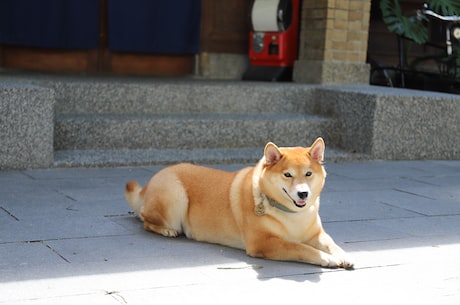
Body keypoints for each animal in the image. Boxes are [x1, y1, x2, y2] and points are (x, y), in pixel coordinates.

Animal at [124, 137, 354, 268]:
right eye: (287, 175)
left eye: (308, 174)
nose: (303, 194)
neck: (292, 216)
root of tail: (149, 184)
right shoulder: (263, 243)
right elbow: (302, 249)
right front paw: (327, 259)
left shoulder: (316, 234)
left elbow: (331, 243)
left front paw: (343, 255)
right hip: (175, 195)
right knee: (146, 219)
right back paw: (166, 230)